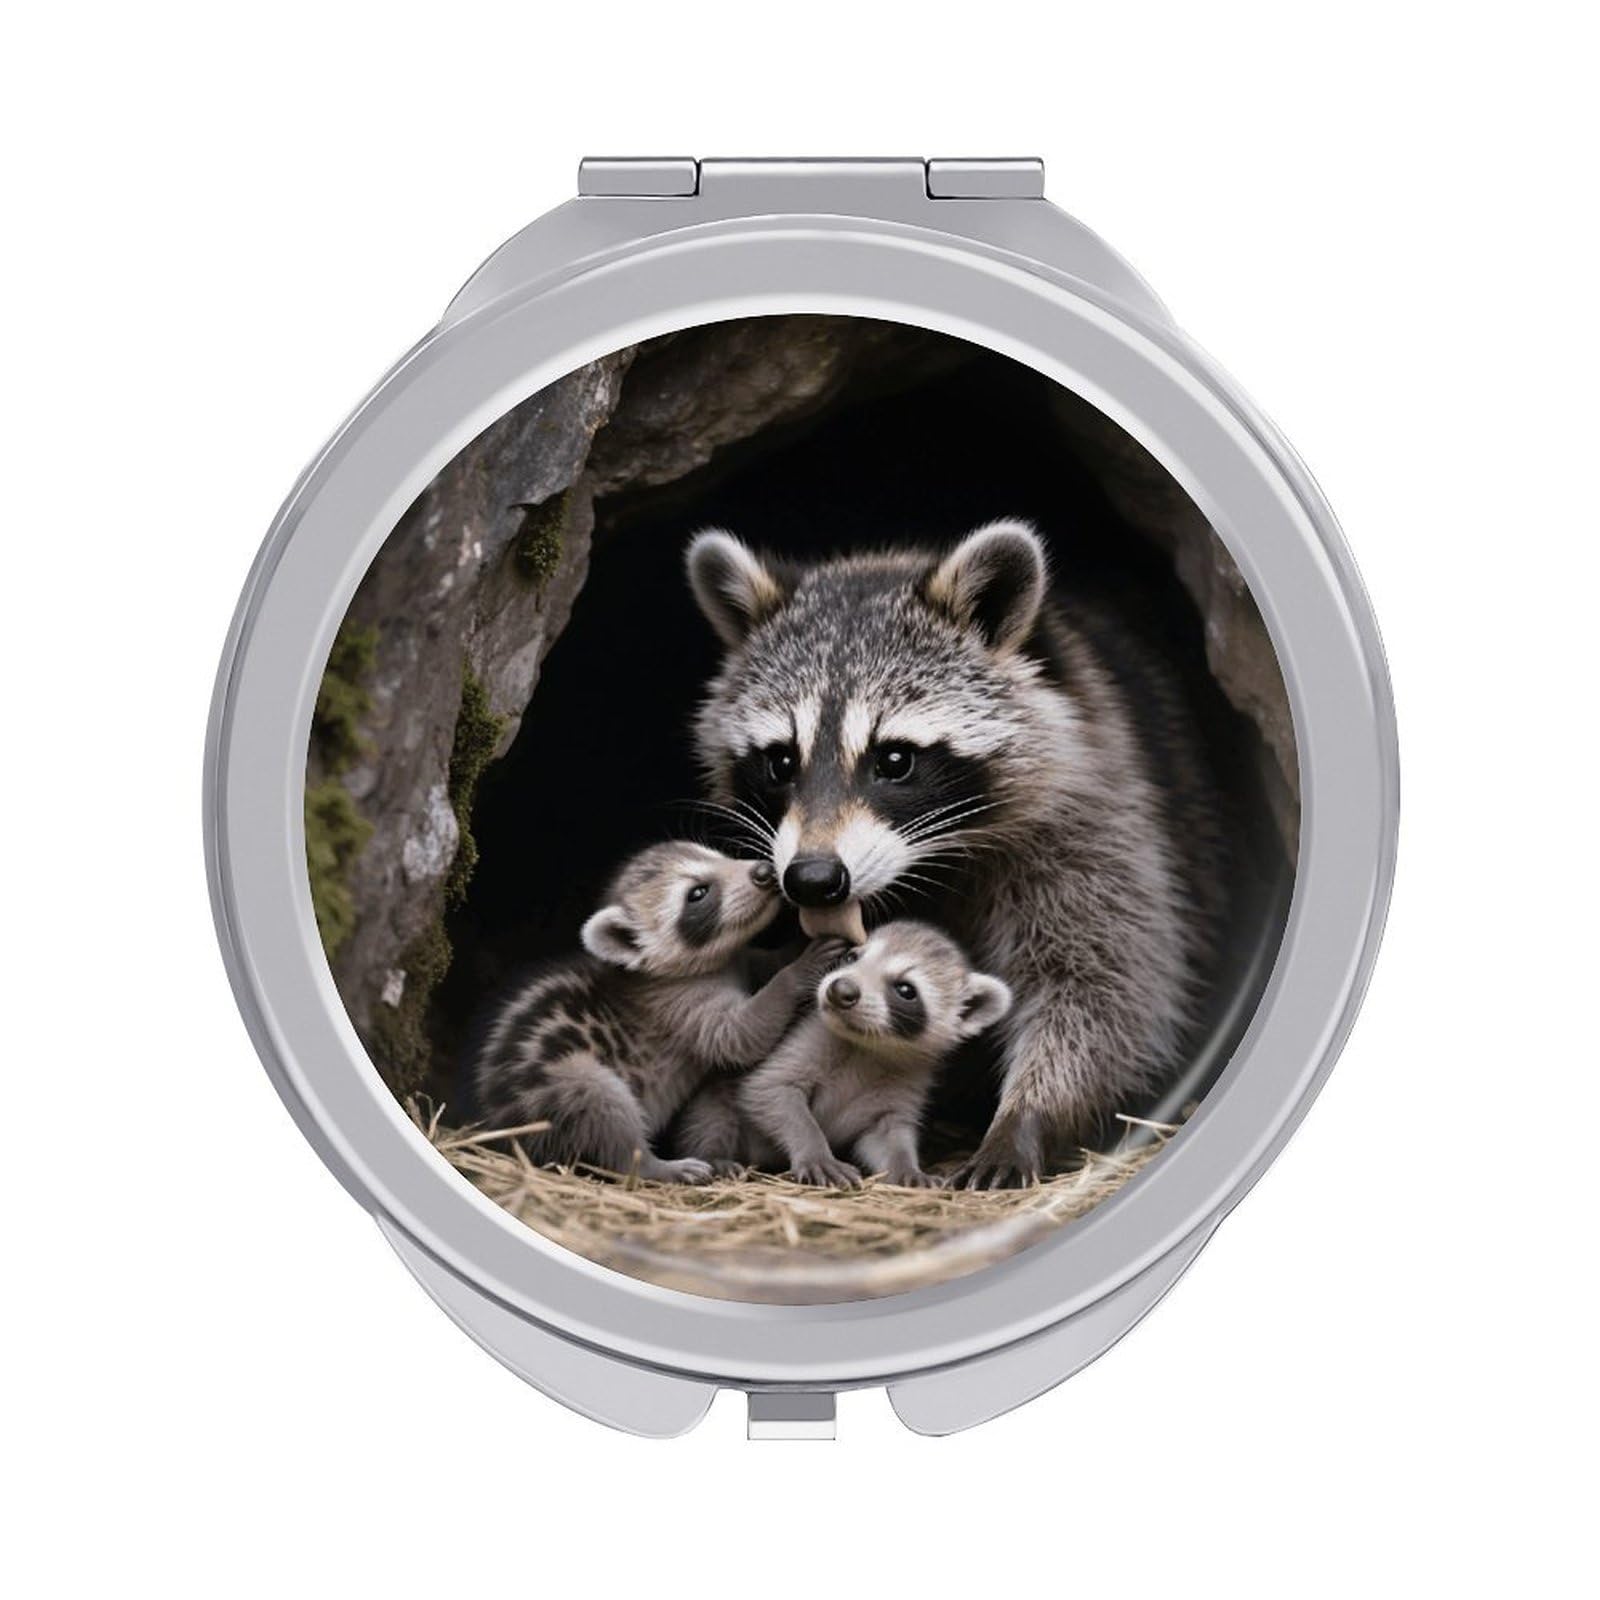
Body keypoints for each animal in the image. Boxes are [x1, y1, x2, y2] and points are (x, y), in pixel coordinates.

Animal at [474, 841, 844, 1183]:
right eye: (698, 893)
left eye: (719, 854)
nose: (765, 871)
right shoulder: (679, 1007)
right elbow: (739, 1036)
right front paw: (795, 973)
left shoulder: (737, 962)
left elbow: (760, 965)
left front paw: (789, 951)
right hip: (552, 1090)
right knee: (601, 1104)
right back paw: (654, 1166)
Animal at [704, 921, 1012, 1188]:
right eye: (852, 957)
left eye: (905, 989)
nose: (840, 989)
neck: (869, 1046)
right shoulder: (810, 1036)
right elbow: (769, 1089)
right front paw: (814, 1149)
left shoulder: (907, 1078)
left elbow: (888, 1134)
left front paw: (907, 1166)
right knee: (717, 1116)